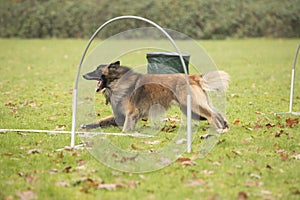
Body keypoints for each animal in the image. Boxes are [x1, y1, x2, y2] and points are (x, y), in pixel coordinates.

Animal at [81, 61, 230, 133]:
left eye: (97, 70)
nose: (83, 75)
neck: (118, 81)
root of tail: (193, 77)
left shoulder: (131, 113)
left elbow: (125, 128)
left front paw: (124, 133)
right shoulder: (120, 115)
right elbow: (102, 121)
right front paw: (86, 125)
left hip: (192, 106)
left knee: (212, 115)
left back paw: (218, 129)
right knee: (217, 113)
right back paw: (225, 126)